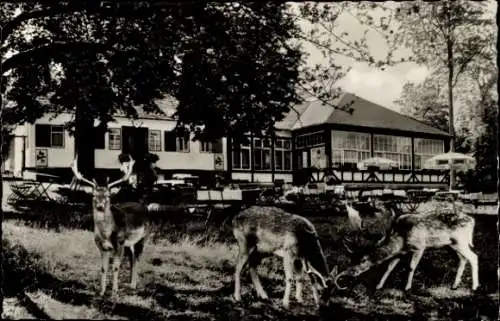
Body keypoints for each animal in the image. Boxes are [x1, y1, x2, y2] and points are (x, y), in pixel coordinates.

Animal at [70, 155, 149, 298]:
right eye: (94, 195)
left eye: (108, 195)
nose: (100, 206)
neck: (106, 234)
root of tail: (144, 206)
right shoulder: (102, 247)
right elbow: (103, 268)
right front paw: (101, 291)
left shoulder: (119, 243)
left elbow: (116, 267)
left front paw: (114, 292)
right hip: (130, 243)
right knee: (132, 258)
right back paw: (130, 283)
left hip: (143, 238)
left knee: (137, 258)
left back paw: (133, 285)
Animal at [330, 202, 478, 292]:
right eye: (352, 259)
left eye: (362, 260)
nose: (343, 277)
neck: (401, 239)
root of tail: (472, 221)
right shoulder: (400, 252)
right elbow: (389, 267)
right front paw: (379, 285)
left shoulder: (419, 246)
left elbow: (411, 266)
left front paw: (407, 287)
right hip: (451, 245)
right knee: (462, 259)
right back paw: (454, 285)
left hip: (460, 241)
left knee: (474, 257)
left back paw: (474, 286)